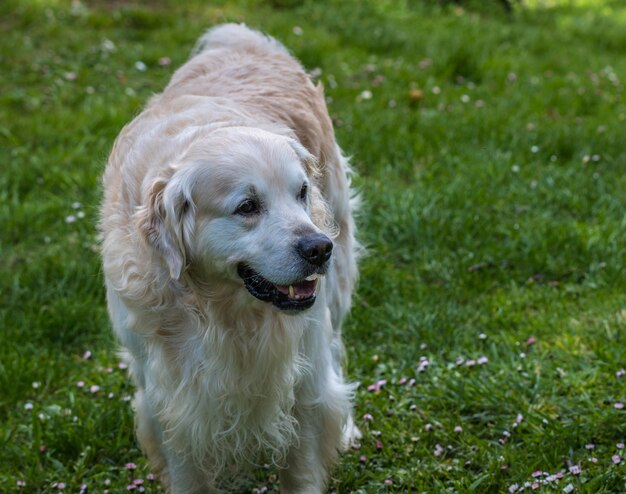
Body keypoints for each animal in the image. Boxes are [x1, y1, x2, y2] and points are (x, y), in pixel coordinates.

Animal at [100, 24, 358, 494]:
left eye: (301, 192)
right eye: (247, 207)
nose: (318, 248)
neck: (228, 315)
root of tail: (240, 36)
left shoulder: (304, 383)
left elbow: (303, 463)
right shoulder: (171, 400)